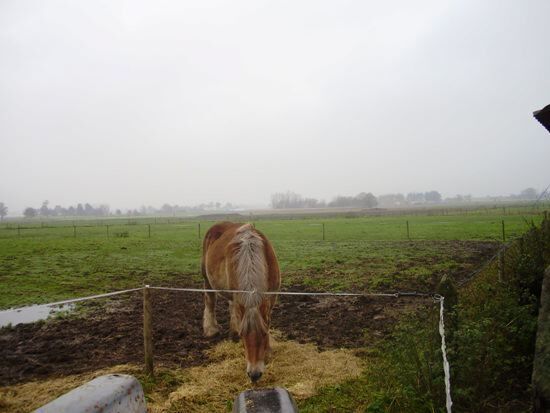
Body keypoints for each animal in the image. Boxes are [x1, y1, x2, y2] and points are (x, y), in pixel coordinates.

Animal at [202, 220, 280, 382]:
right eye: (244, 335)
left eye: (264, 334)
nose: (254, 375)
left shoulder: (271, 297)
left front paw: (268, 349)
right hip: (207, 279)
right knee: (210, 301)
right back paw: (211, 329)